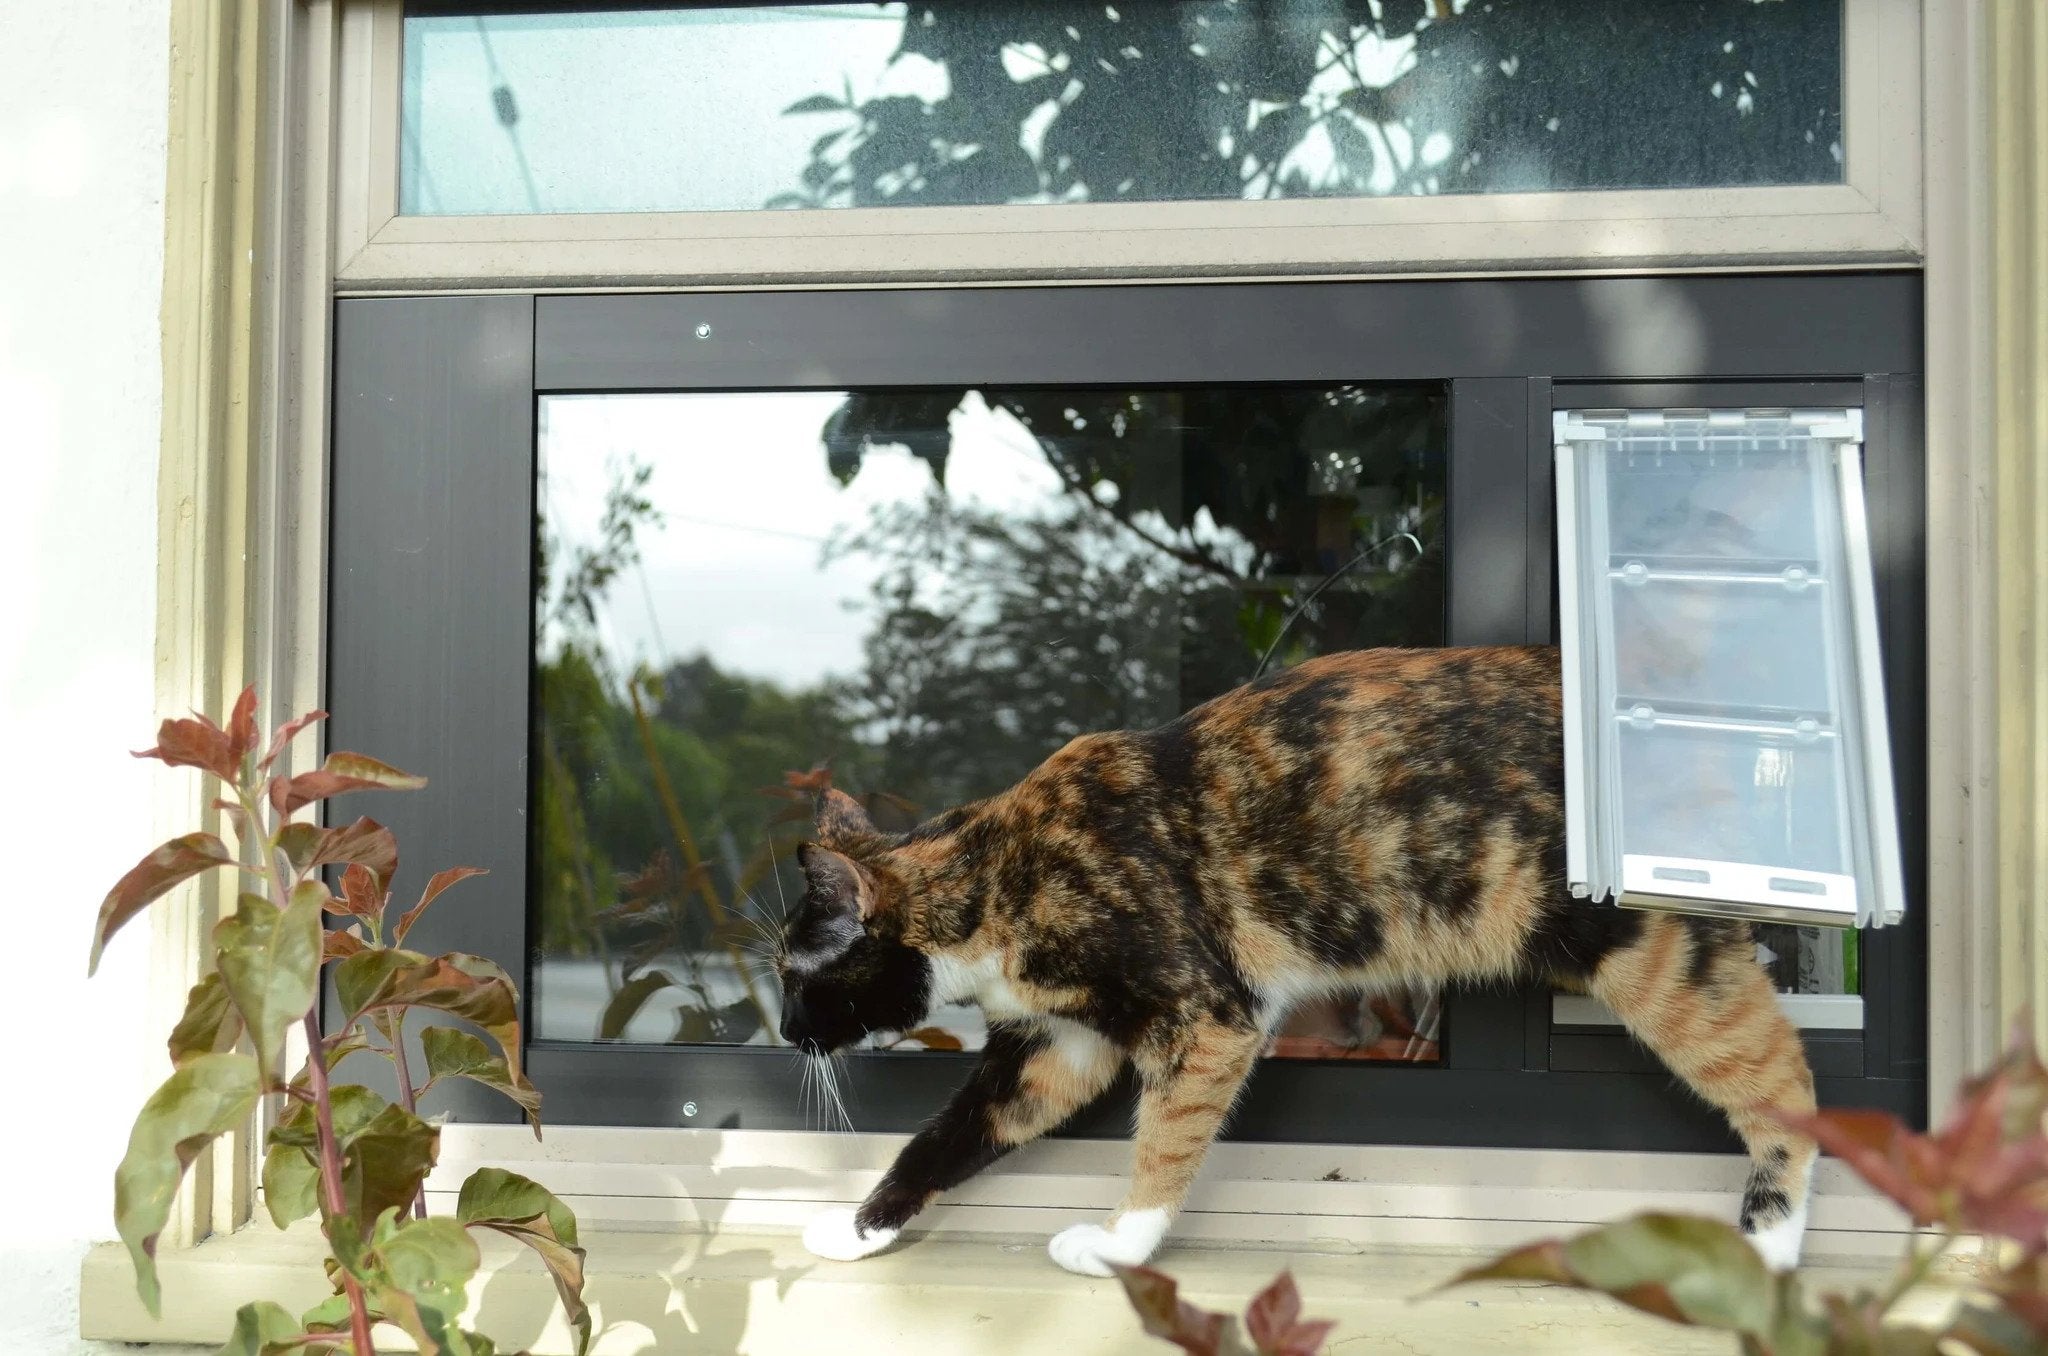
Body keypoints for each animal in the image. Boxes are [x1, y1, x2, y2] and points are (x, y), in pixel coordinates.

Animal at [774, 655, 1818, 1278]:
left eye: (792, 974)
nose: (783, 1032)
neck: (994, 876)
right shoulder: (1053, 1047)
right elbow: (942, 1139)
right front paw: (858, 1228)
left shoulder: (1206, 1015)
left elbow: (1165, 1140)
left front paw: (1120, 1245)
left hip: (1641, 946)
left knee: (1788, 1079)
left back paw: (1770, 1245)